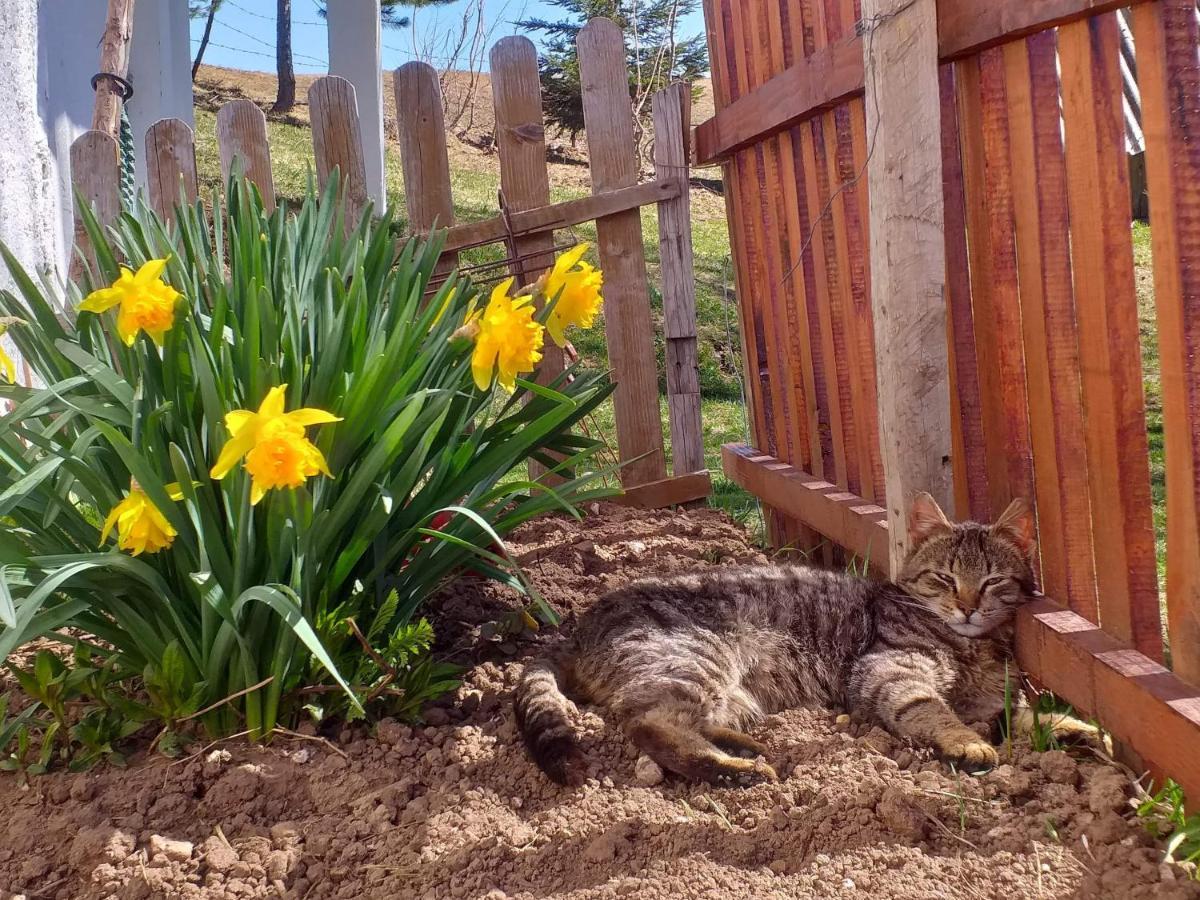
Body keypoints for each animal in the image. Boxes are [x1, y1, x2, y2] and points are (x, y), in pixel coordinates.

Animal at [513, 494, 1070, 787]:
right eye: (945, 579)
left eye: (993, 581)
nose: (969, 607)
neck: (970, 647)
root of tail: (580, 621)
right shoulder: (889, 672)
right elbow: (932, 709)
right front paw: (967, 743)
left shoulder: (995, 700)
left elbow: (1039, 719)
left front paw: (1076, 731)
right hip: (697, 660)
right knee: (649, 724)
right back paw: (734, 769)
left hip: (725, 690)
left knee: (685, 720)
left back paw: (744, 747)